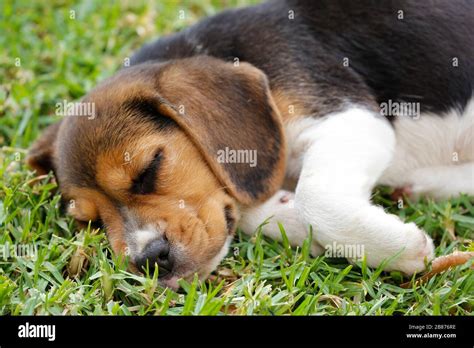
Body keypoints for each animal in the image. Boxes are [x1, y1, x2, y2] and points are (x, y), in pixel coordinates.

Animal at [27, 0, 472, 288]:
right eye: (90, 223)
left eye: (150, 168)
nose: (149, 260)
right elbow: (251, 208)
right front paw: (292, 219)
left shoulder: (351, 117)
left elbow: (316, 197)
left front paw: (399, 248)